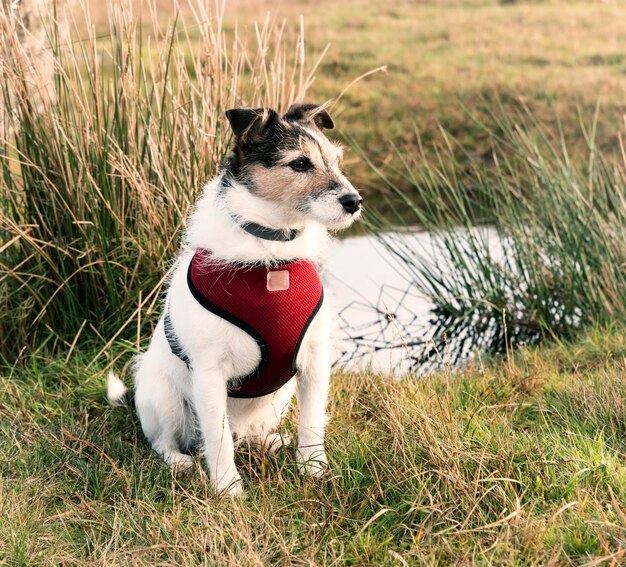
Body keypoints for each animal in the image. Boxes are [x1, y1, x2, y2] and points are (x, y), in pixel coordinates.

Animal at [107, 103, 360, 496]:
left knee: (246, 434)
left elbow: (311, 421)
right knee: (168, 440)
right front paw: (227, 488)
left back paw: (268, 441)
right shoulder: (210, 373)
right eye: (300, 163)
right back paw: (179, 461)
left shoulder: (314, 363)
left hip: (280, 395)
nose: (355, 202)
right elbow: (218, 435)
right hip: (165, 396)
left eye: (335, 160)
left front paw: (313, 469)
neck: (271, 255)